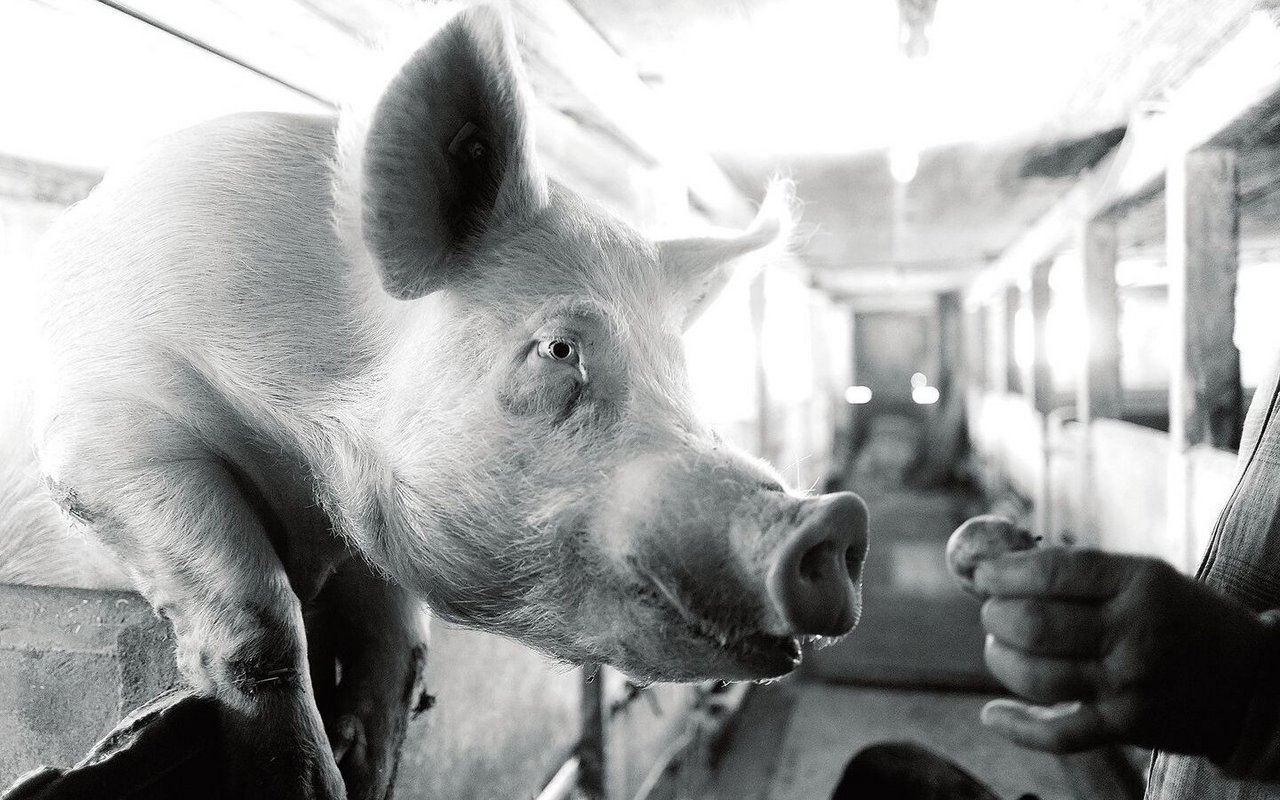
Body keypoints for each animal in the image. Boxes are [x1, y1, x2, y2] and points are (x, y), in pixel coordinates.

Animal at [5, 6, 870, 798]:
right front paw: (312, 785)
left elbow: (400, 641)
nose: (835, 516)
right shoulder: (99, 429)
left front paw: (369, 763)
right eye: (559, 349)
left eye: (680, 371)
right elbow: (260, 618)